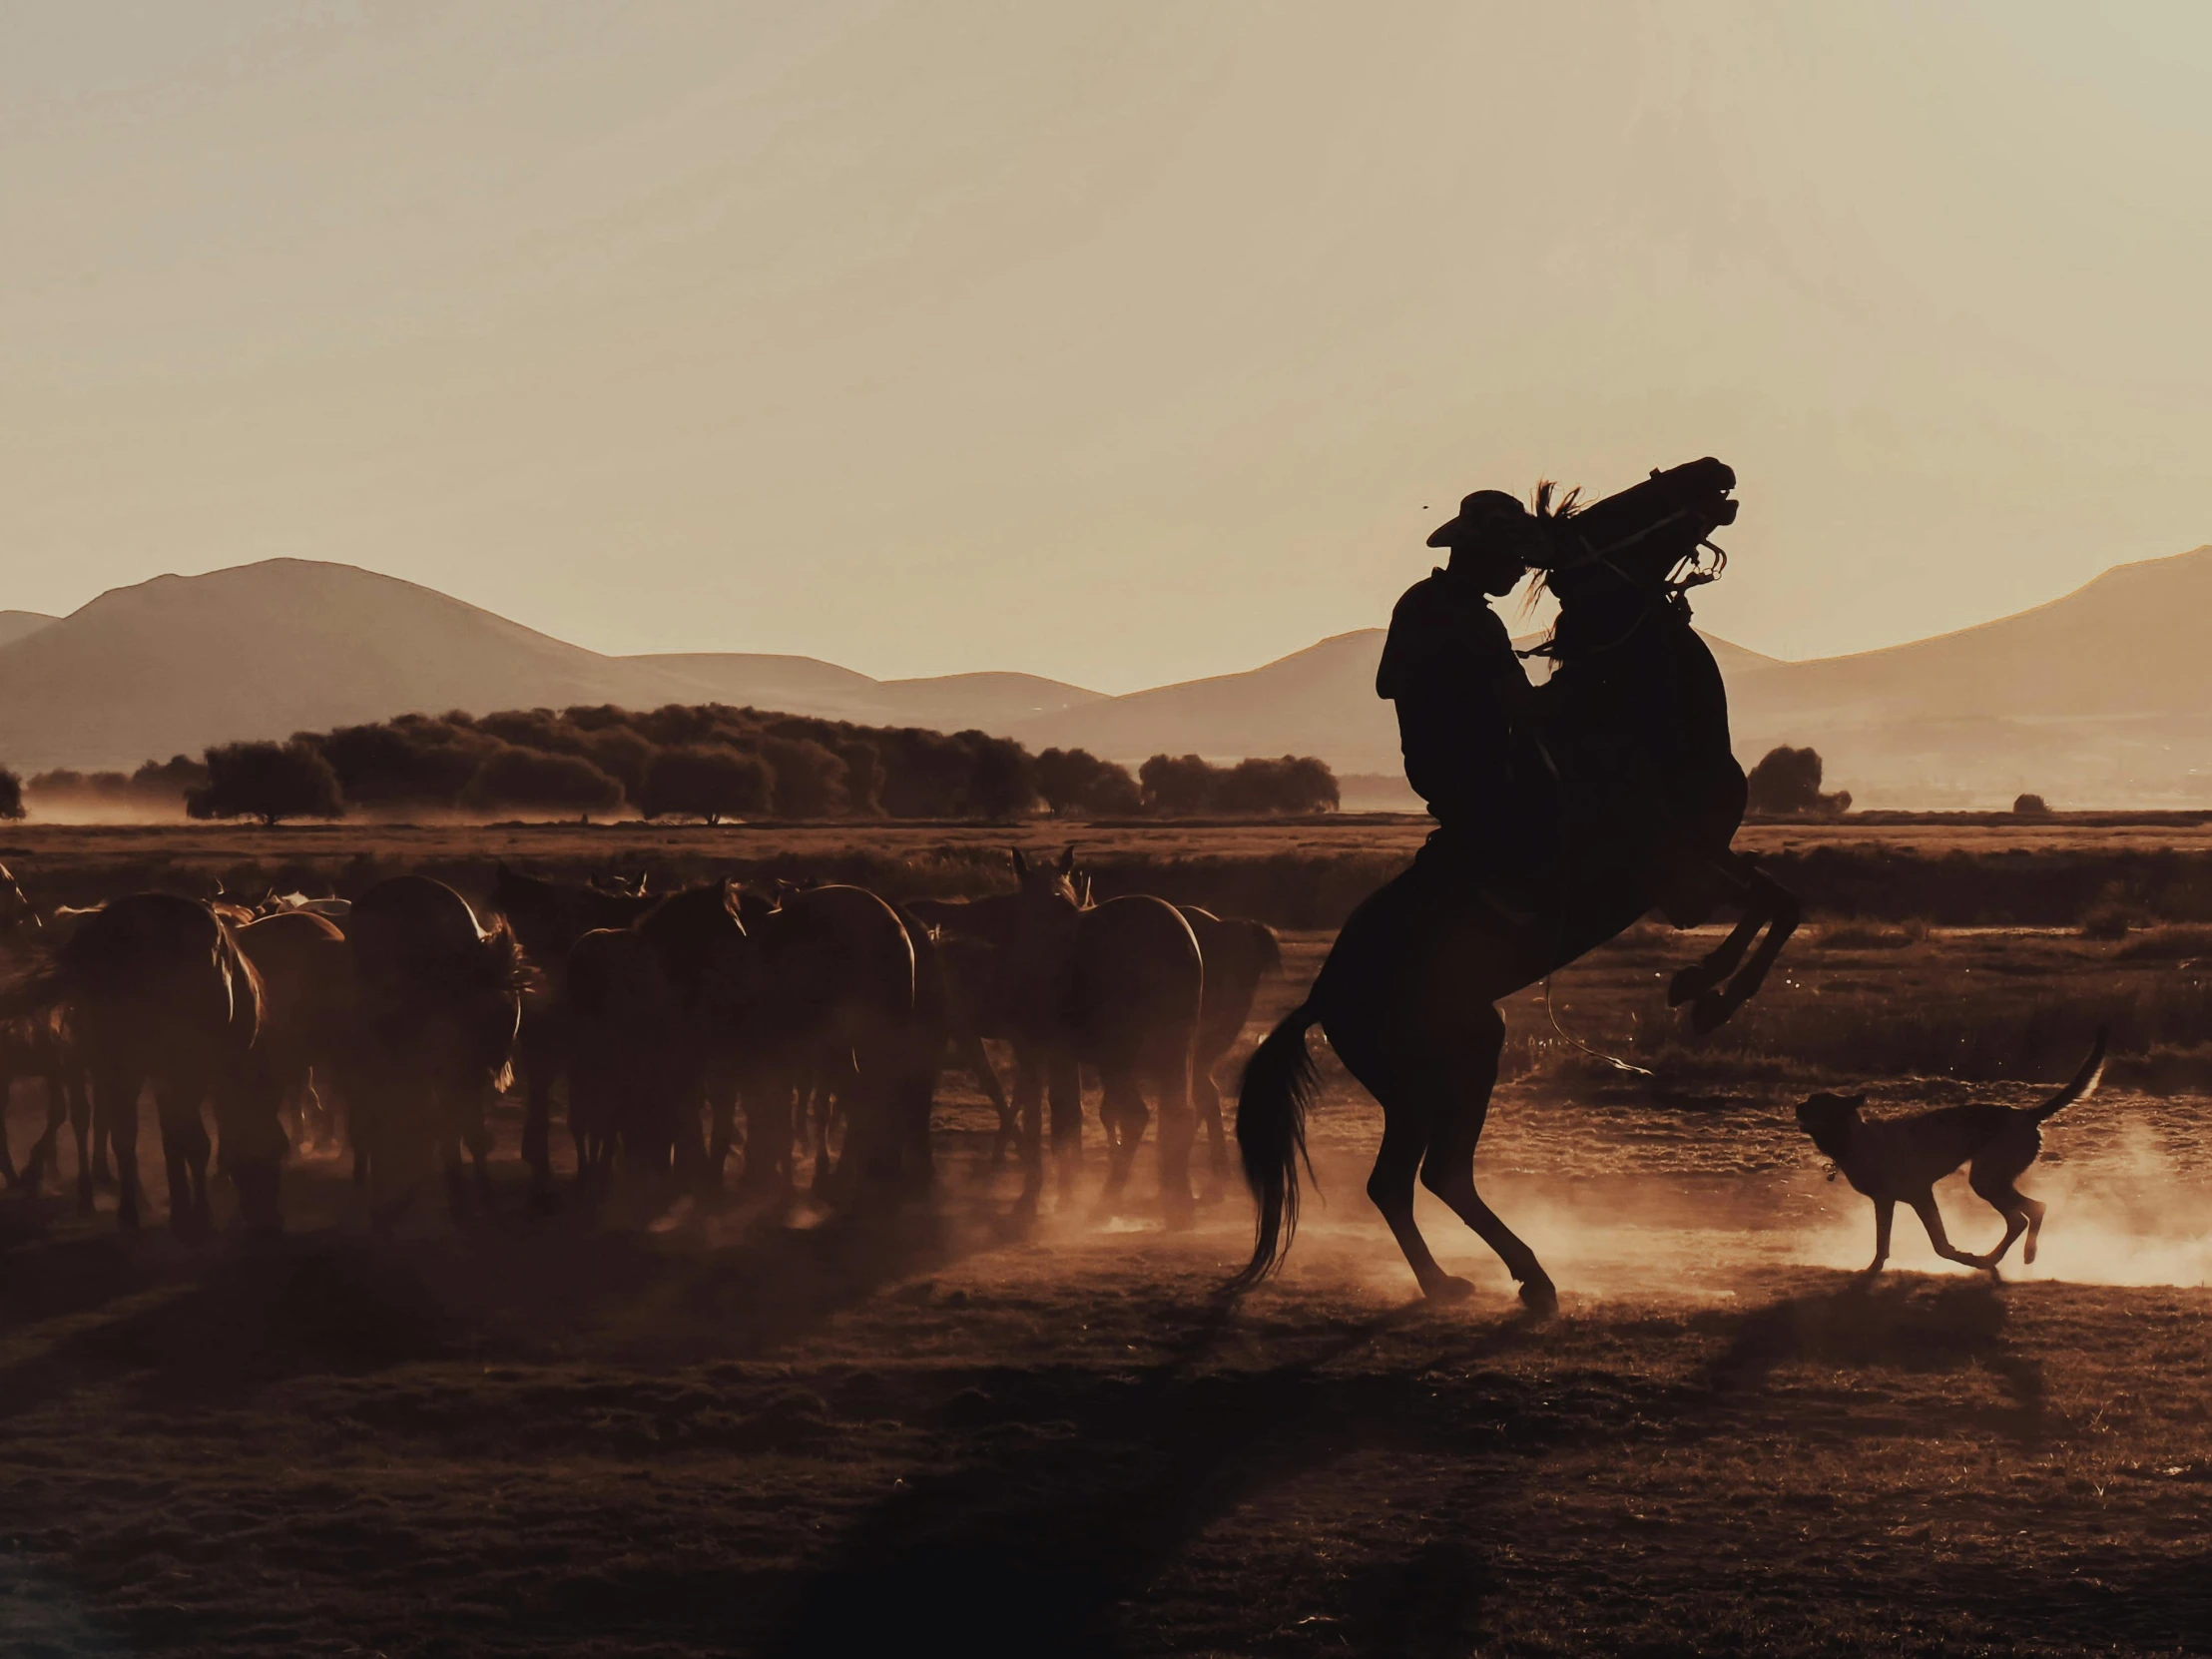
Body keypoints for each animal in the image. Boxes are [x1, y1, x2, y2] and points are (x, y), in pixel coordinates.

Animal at [1238, 457, 1805, 1309]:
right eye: (1612, 511)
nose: (1712, 470)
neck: (1643, 719)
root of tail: (1323, 997)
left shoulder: (1692, 875)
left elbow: (1777, 900)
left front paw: (1700, 987)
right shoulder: (1672, 857)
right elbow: (1778, 902)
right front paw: (1706, 995)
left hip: (1441, 1065)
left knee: (1402, 1182)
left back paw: (1455, 1280)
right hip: (1453, 1060)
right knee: (1430, 1175)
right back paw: (1521, 1277)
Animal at [1796, 1035, 2105, 1283]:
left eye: (1816, 1104)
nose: (1797, 1106)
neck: (1854, 1140)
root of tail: (2026, 1115)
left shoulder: (1920, 1195)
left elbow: (1941, 1245)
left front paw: (1972, 1261)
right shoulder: (1885, 1201)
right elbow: (1882, 1244)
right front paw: (1872, 1270)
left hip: (1986, 1180)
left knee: (2027, 1214)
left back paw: (2002, 1258)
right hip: (1992, 1179)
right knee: (2031, 1212)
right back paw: (2010, 1257)